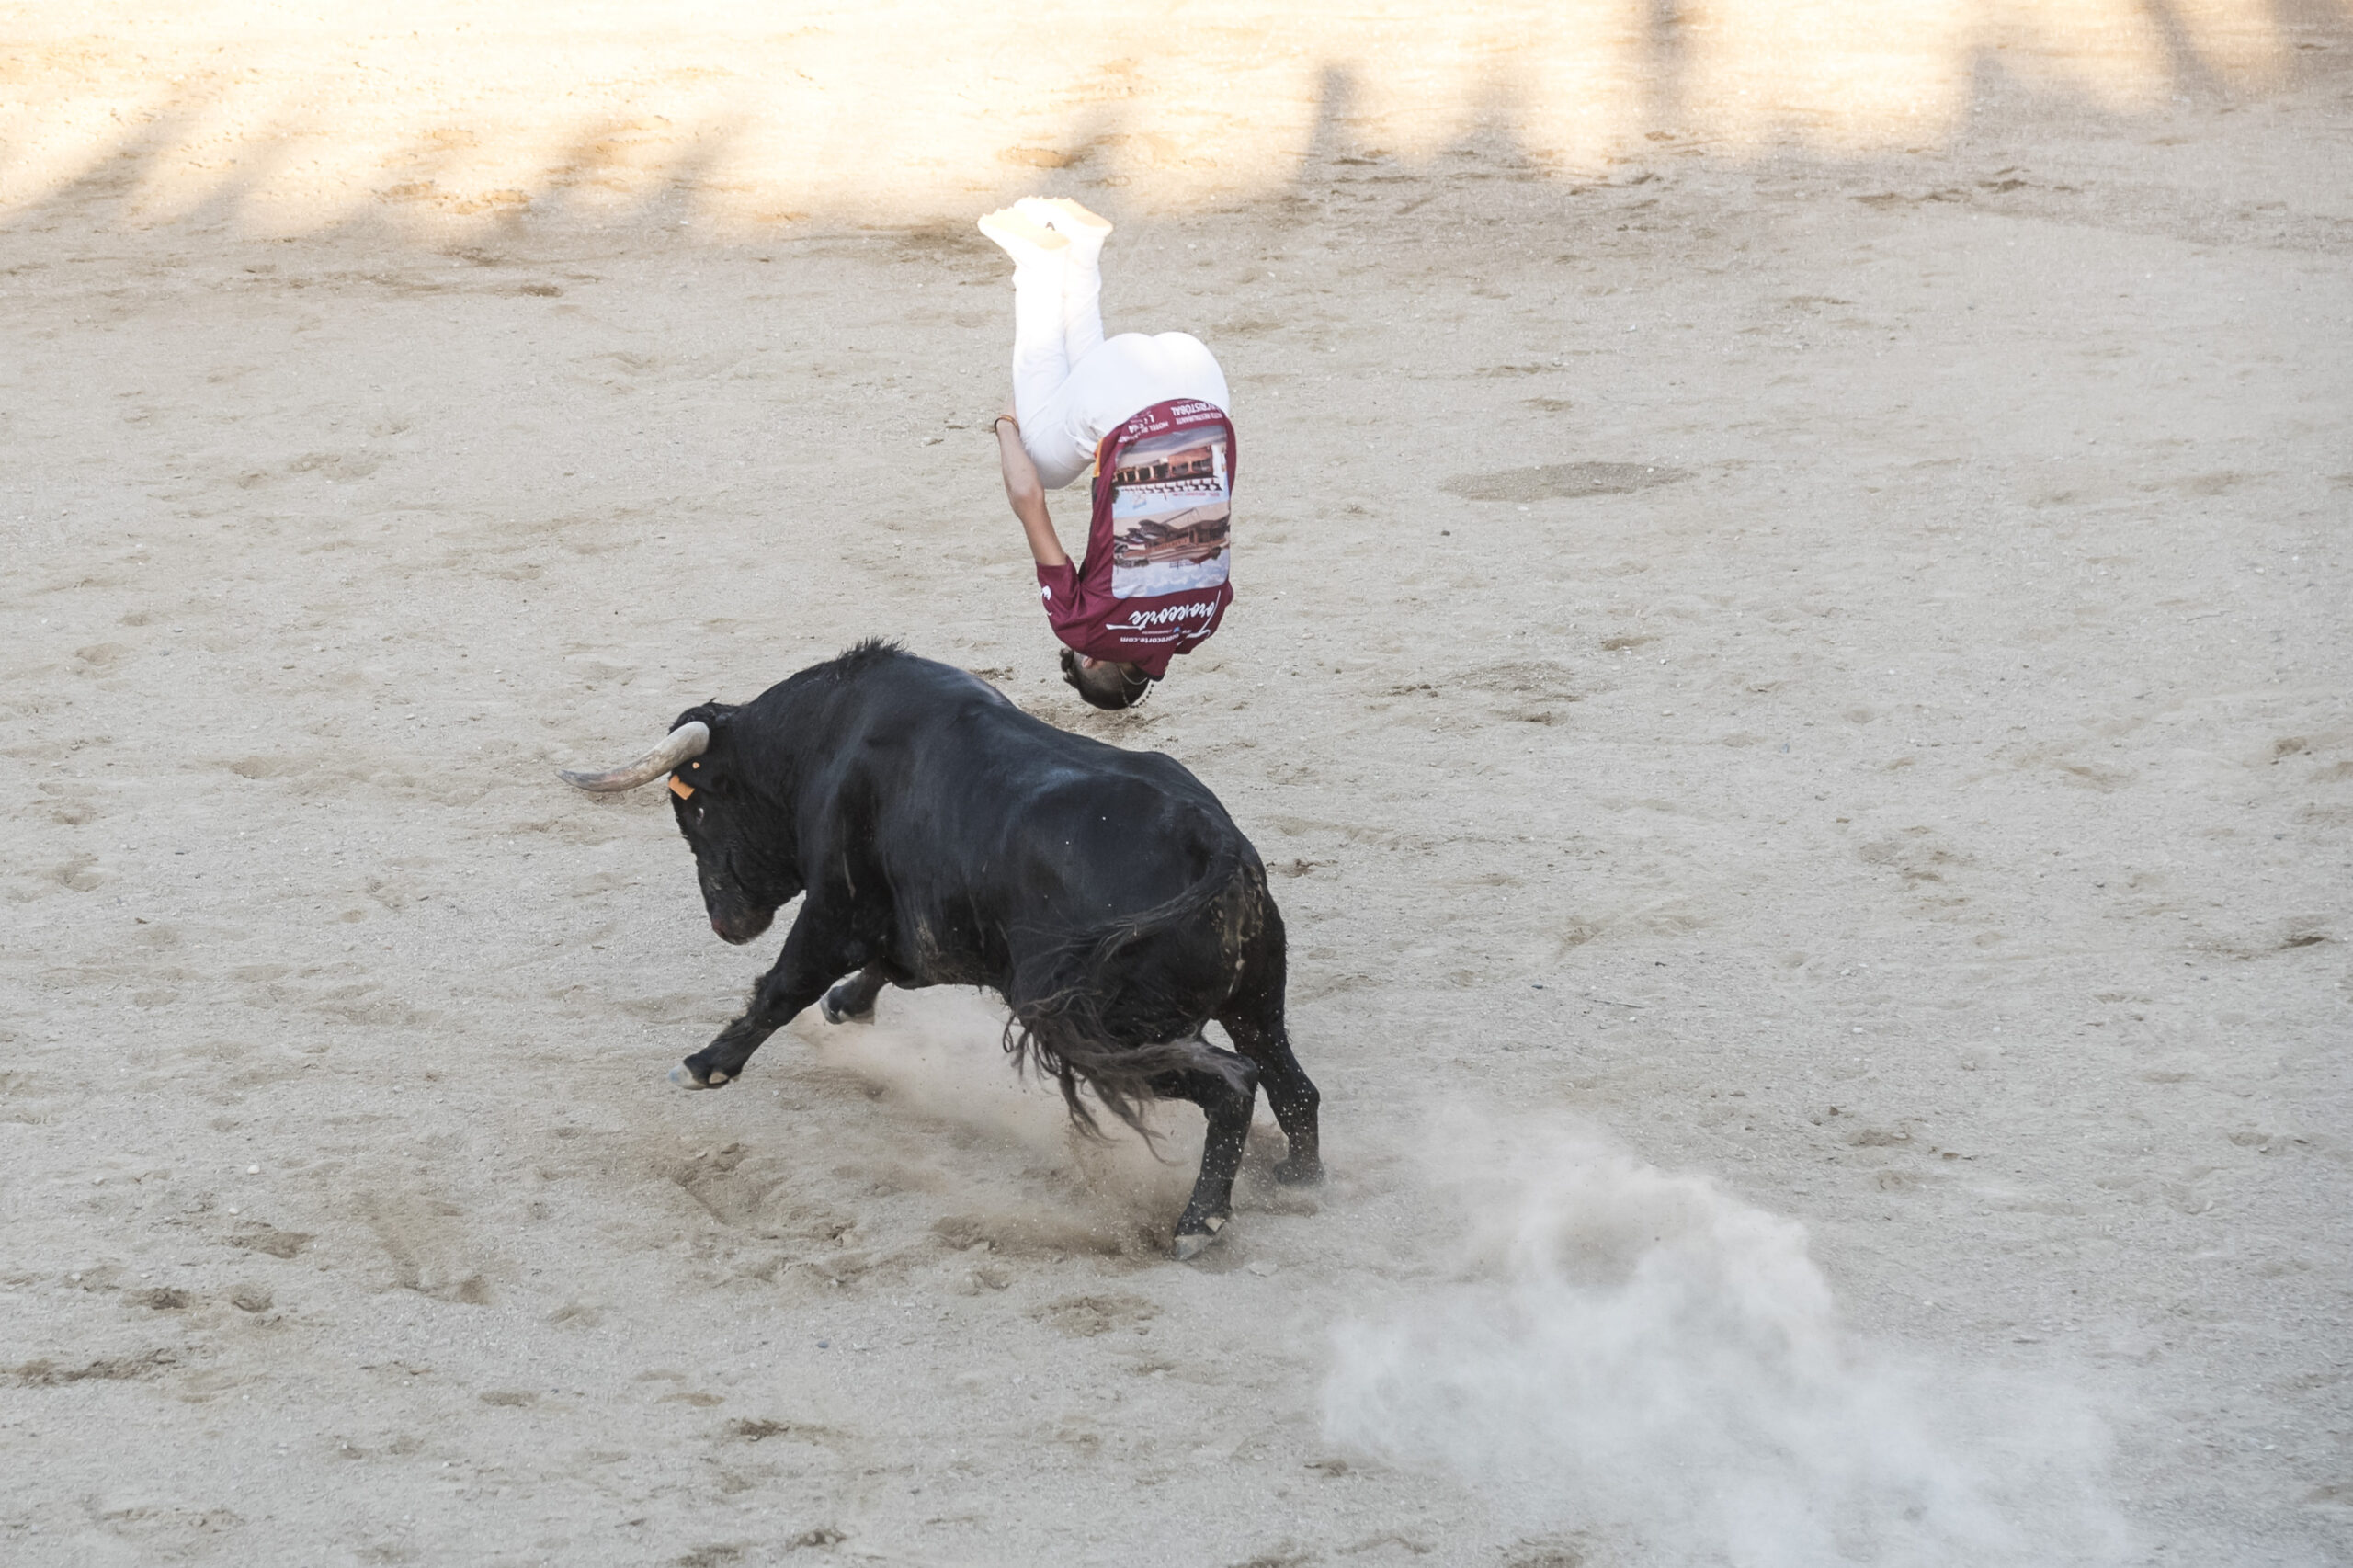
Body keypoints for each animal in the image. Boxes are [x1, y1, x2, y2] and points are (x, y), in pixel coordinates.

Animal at [555, 640, 1326, 1252]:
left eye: (695, 812)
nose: (726, 923)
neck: (823, 741)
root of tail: (1215, 844)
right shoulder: (921, 926)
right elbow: (886, 968)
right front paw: (845, 1005)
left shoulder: (834, 907)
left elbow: (785, 985)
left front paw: (705, 1064)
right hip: (1256, 998)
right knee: (1291, 1084)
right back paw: (1300, 1176)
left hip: (1094, 1028)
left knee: (1234, 1084)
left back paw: (1198, 1224)